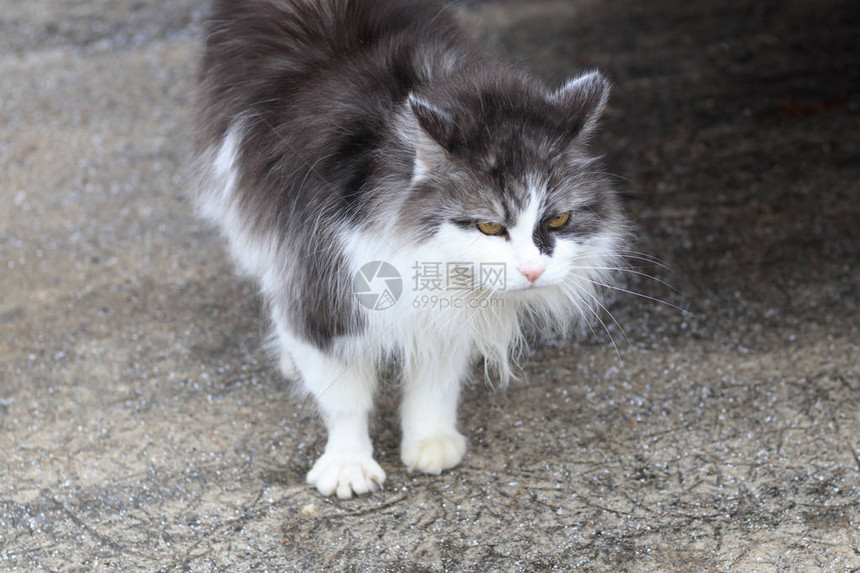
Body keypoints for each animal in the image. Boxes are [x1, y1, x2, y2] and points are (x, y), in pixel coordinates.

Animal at [193, 0, 624, 496]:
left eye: (557, 220)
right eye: (489, 226)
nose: (533, 272)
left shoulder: (448, 310)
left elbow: (435, 379)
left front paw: (430, 441)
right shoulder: (325, 285)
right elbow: (343, 395)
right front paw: (347, 465)